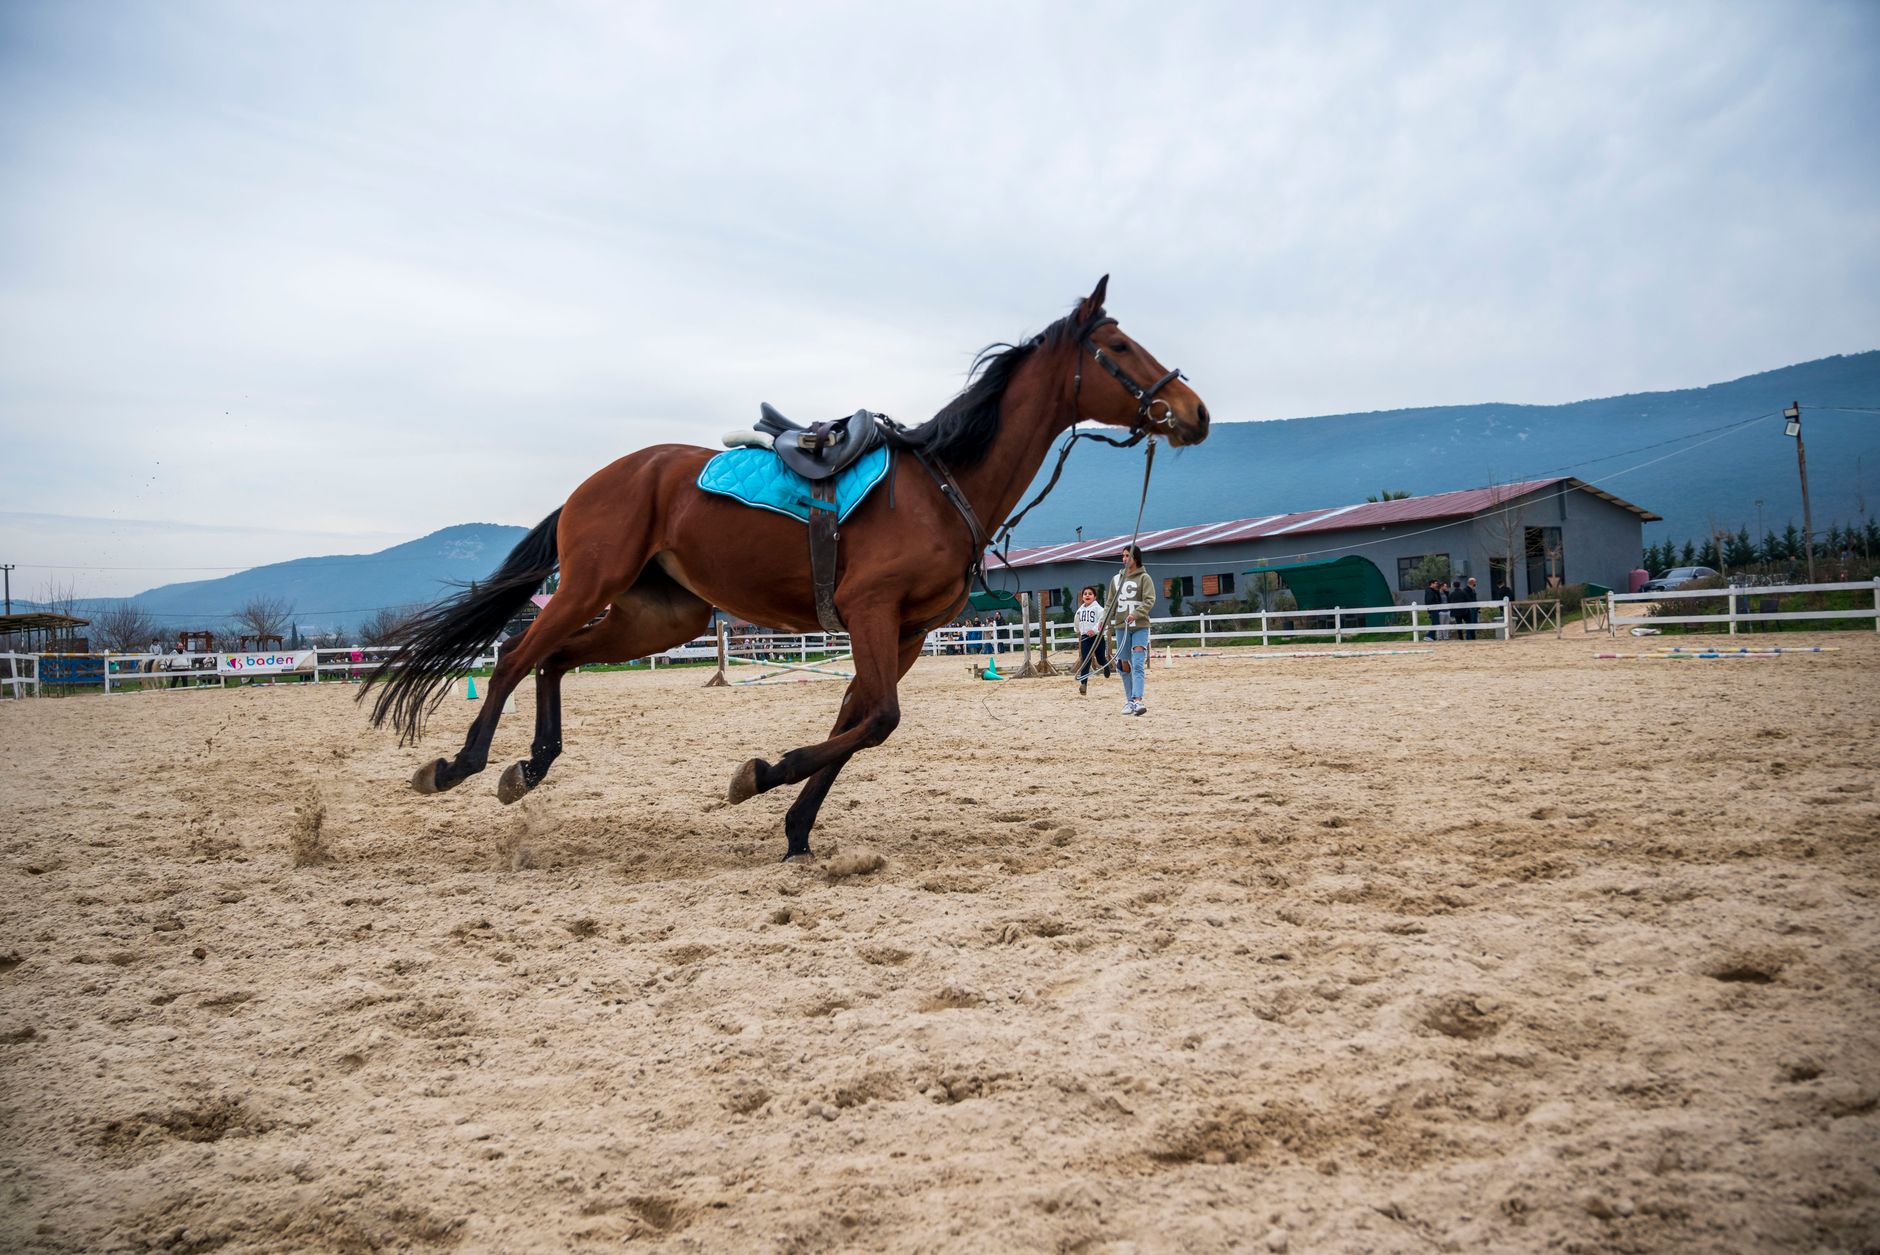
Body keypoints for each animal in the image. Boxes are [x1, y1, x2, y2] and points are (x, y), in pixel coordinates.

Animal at [362, 276, 1211, 859]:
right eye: (1121, 348)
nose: (1196, 412)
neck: (945, 482)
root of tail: (597, 481)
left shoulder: (903, 634)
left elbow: (857, 722)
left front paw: (797, 826)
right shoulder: (871, 611)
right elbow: (876, 720)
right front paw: (763, 776)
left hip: (659, 614)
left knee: (555, 661)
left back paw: (531, 767)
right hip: (590, 586)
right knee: (514, 654)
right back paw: (464, 763)